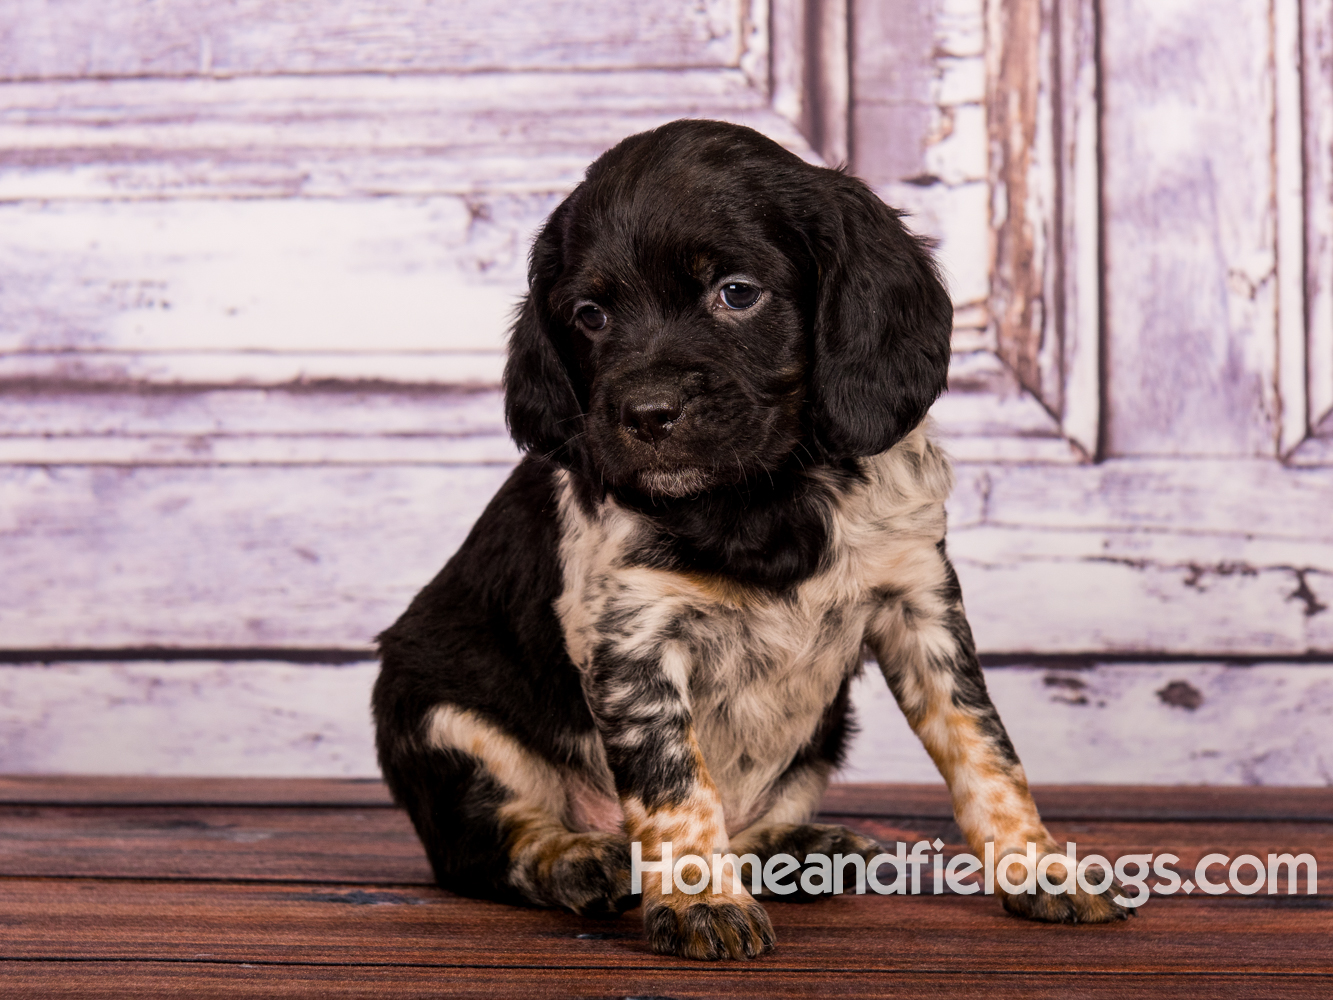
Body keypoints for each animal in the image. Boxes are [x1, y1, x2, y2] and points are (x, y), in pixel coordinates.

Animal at [373, 119, 1125, 965]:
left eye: (736, 292)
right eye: (590, 314)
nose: (645, 414)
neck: (765, 496)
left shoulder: (920, 604)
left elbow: (985, 749)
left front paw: (1039, 867)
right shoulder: (631, 641)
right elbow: (674, 784)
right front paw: (699, 902)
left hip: (822, 735)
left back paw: (794, 850)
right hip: (436, 716)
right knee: (487, 843)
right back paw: (578, 857)